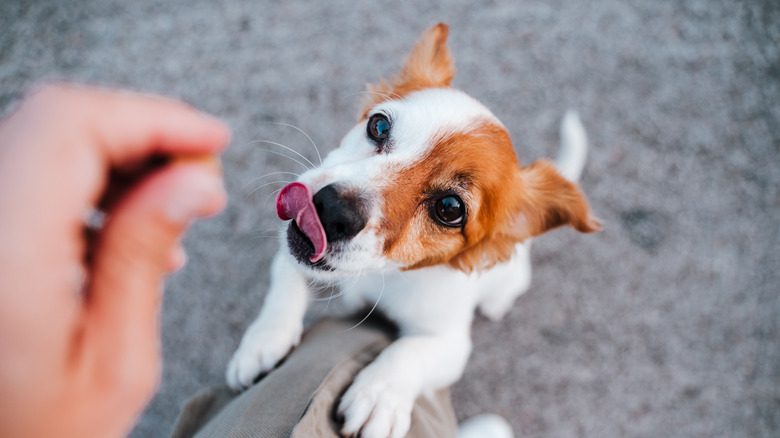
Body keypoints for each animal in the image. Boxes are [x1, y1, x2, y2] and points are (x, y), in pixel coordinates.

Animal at [229, 24, 600, 438]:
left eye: (450, 209)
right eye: (378, 125)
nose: (332, 209)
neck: (379, 275)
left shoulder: (450, 343)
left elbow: (410, 351)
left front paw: (379, 394)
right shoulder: (296, 257)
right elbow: (286, 282)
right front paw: (264, 341)